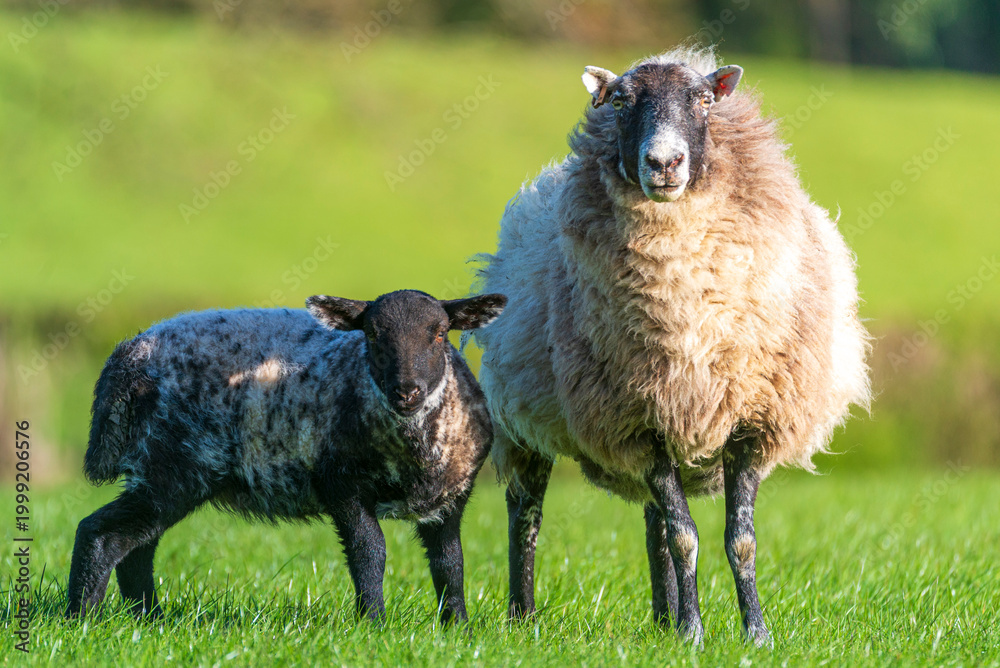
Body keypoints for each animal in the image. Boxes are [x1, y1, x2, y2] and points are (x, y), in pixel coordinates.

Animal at [66, 289, 507, 625]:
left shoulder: (451, 497)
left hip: (162, 470)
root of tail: (130, 355)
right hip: (172, 466)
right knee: (100, 533)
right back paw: (82, 619)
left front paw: (458, 628)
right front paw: (373, 624)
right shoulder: (340, 484)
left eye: (440, 334)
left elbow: (450, 563)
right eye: (373, 334)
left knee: (135, 548)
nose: (407, 390)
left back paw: (149, 618)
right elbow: (370, 552)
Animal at [470, 46, 871, 646]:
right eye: (619, 100)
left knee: (654, 524)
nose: (663, 163)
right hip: (523, 419)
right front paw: (695, 634)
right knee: (526, 514)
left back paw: (664, 619)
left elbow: (738, 540)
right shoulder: (638, 423)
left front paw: (754, 633)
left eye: (704, 99)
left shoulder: (748, 421)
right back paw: (525, 618)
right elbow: (687, 537)